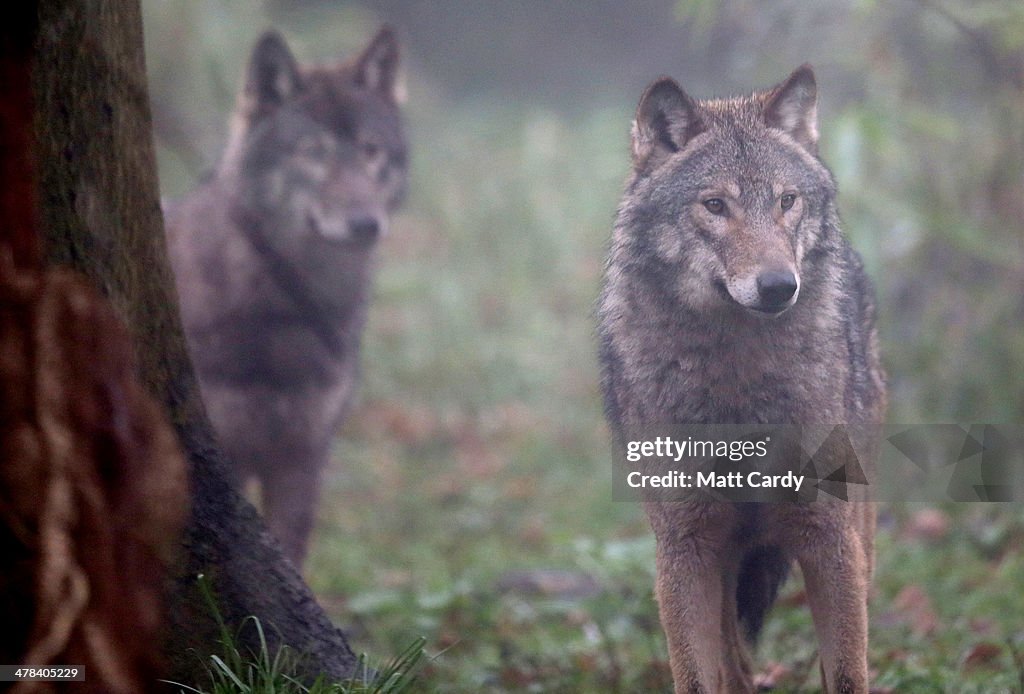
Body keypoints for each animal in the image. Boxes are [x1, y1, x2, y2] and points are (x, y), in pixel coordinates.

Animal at [598, 66, 888, 694]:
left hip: (860, 530)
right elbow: (697, 677)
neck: (740, 385)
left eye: (786, 201)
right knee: (733, 665)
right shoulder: (685, 547)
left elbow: (846, 671)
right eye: (715, 205)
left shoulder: (829, 536)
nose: (780, 286)